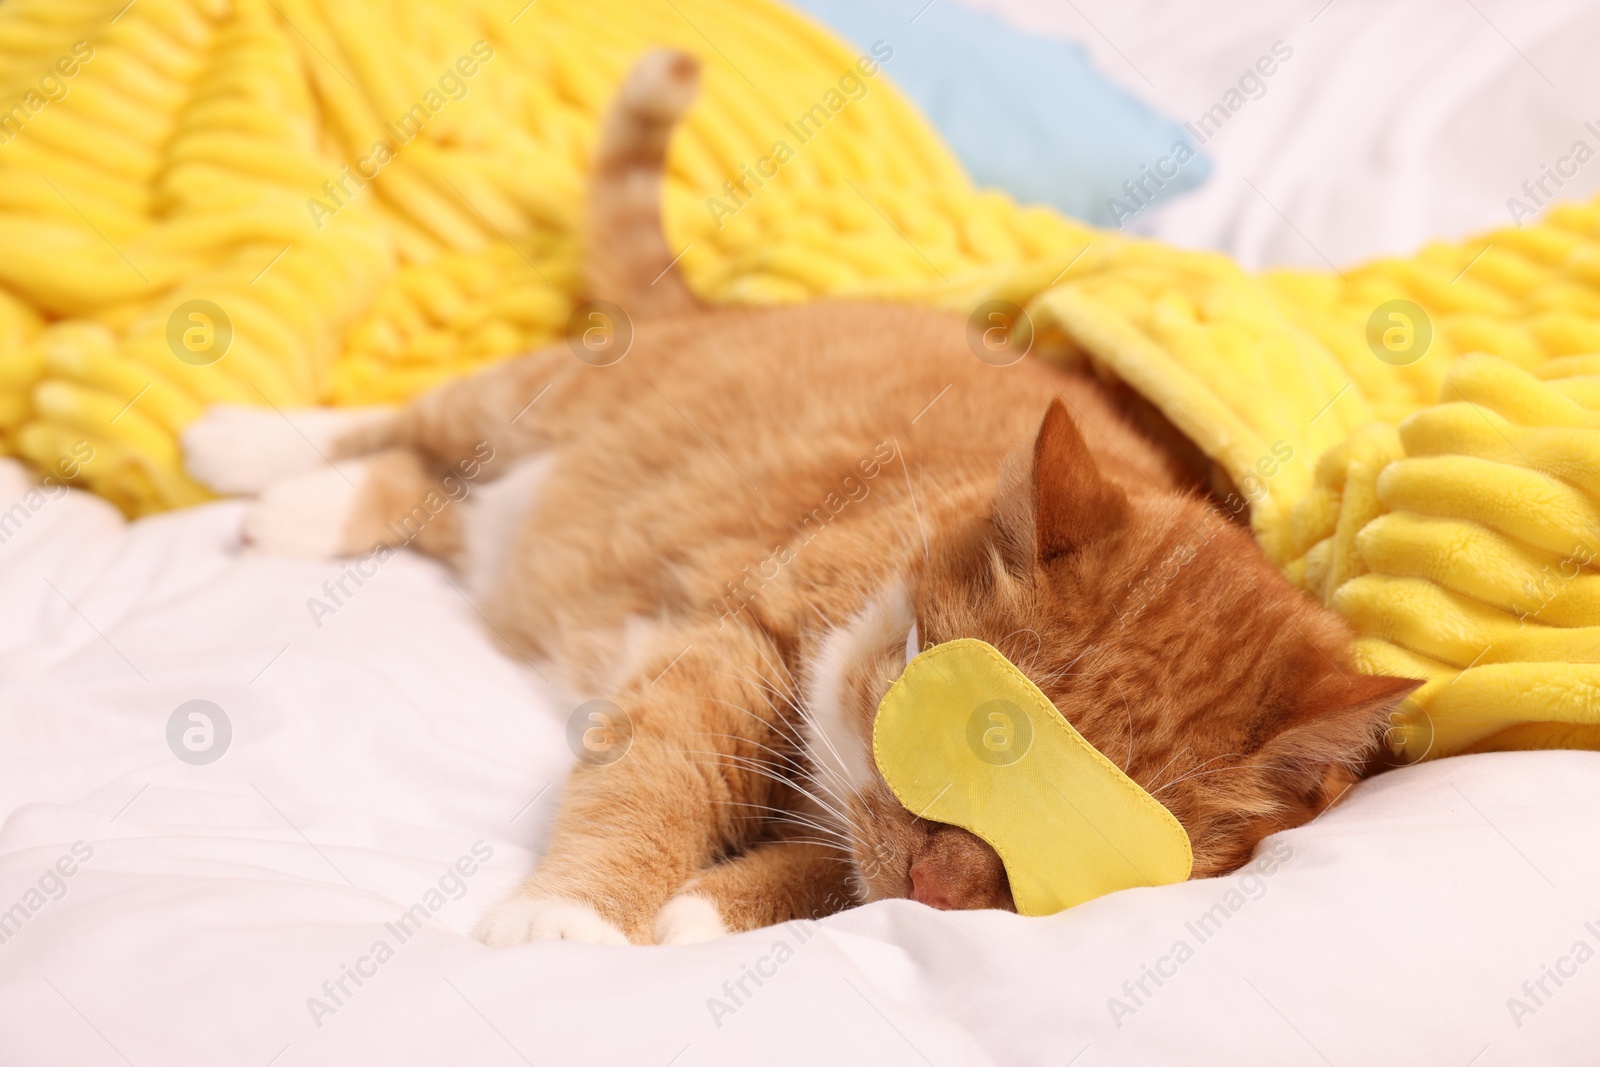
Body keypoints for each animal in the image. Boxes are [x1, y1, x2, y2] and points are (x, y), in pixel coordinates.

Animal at [181, 47, 1420, 940]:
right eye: (958, 738)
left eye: (1083, 849)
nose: (942, 886)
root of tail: (706, 309)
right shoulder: (733, 647)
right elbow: (653, 788)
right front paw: (569, 918)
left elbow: (825, 864)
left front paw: (704, 910)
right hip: (527, 407)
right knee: (408, 425)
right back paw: (241, 450)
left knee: (430, 494)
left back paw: (304, 508)